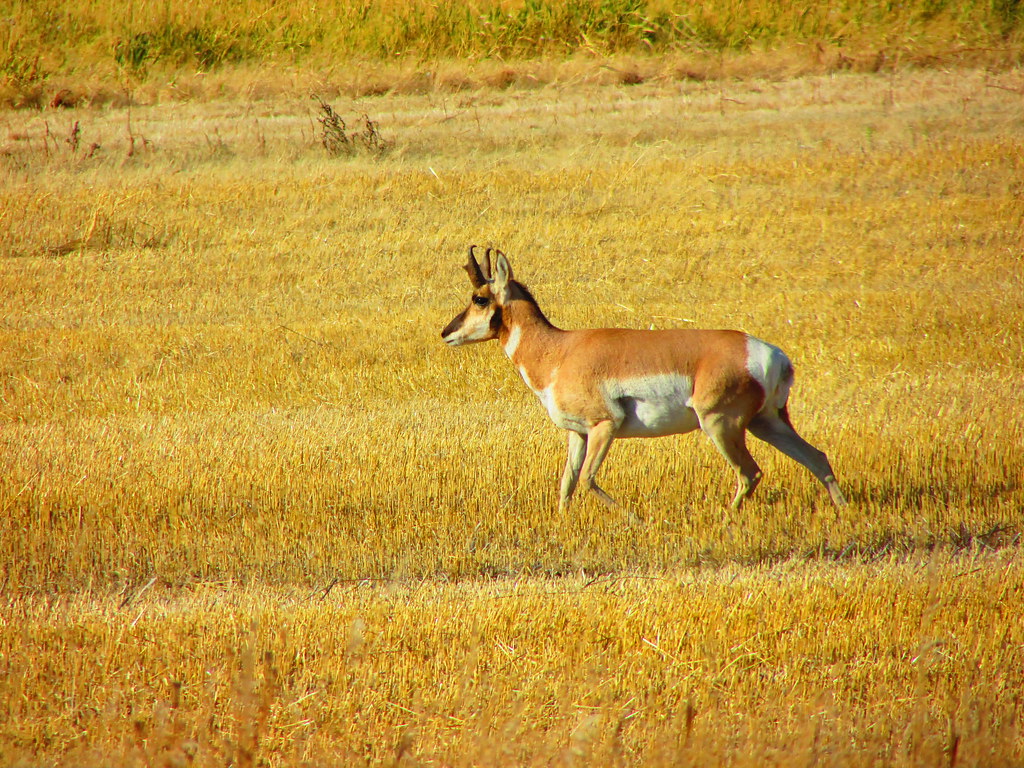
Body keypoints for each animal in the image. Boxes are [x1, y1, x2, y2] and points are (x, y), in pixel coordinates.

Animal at [441, 246, 848, 511]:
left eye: (479, 298)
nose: (446, 333)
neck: (559, 351)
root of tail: (770, 354)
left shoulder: (604, 426)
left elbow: (587, 480)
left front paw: (633, 520)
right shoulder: (576, 433)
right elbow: (567, 485)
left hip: (721, 424)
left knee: (750, 473)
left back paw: (726, 517)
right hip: (766, 423)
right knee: (817, 459)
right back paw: (844, 513)